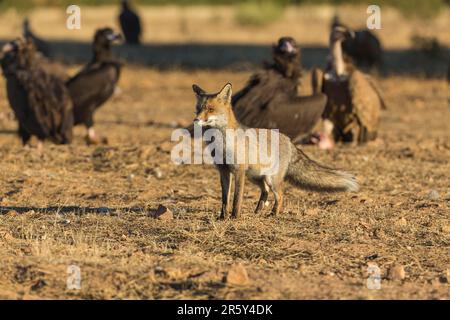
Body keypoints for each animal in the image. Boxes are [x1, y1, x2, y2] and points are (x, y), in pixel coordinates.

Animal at [193, 82, 358, 219]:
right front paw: (222, 217)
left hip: (270, 179)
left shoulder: (238, 171)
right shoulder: (224, 171)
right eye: (198, 109)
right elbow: (224, 199)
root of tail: (289, 141)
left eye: (210, 109)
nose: (196, 120)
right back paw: (258, 211)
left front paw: (234, 217)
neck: (221, 143)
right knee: (265, 191)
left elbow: (236, 199)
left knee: (280, 195)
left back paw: (273, 214)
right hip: (256, 177)